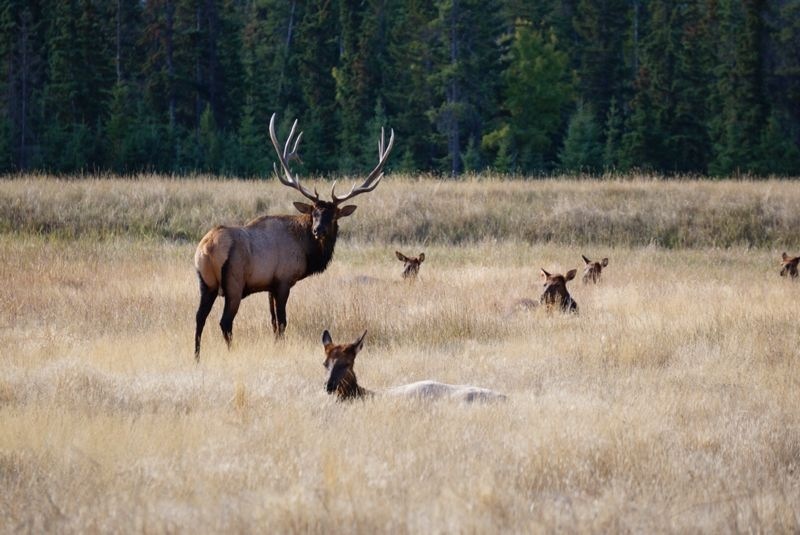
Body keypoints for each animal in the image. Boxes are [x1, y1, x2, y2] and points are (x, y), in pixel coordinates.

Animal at [194, 114, 394, 362]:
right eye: (314, 213)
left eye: (333, 216)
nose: (318, 230)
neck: (306, 251)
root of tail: (207, 248)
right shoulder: (283, 280)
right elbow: (282, 322)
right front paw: (280, 348)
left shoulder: (269, 285)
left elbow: (272, 322)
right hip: (234, 283)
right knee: (225, 322)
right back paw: (230, 353)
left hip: (205, 282)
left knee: (199, 318)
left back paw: (197, 356)